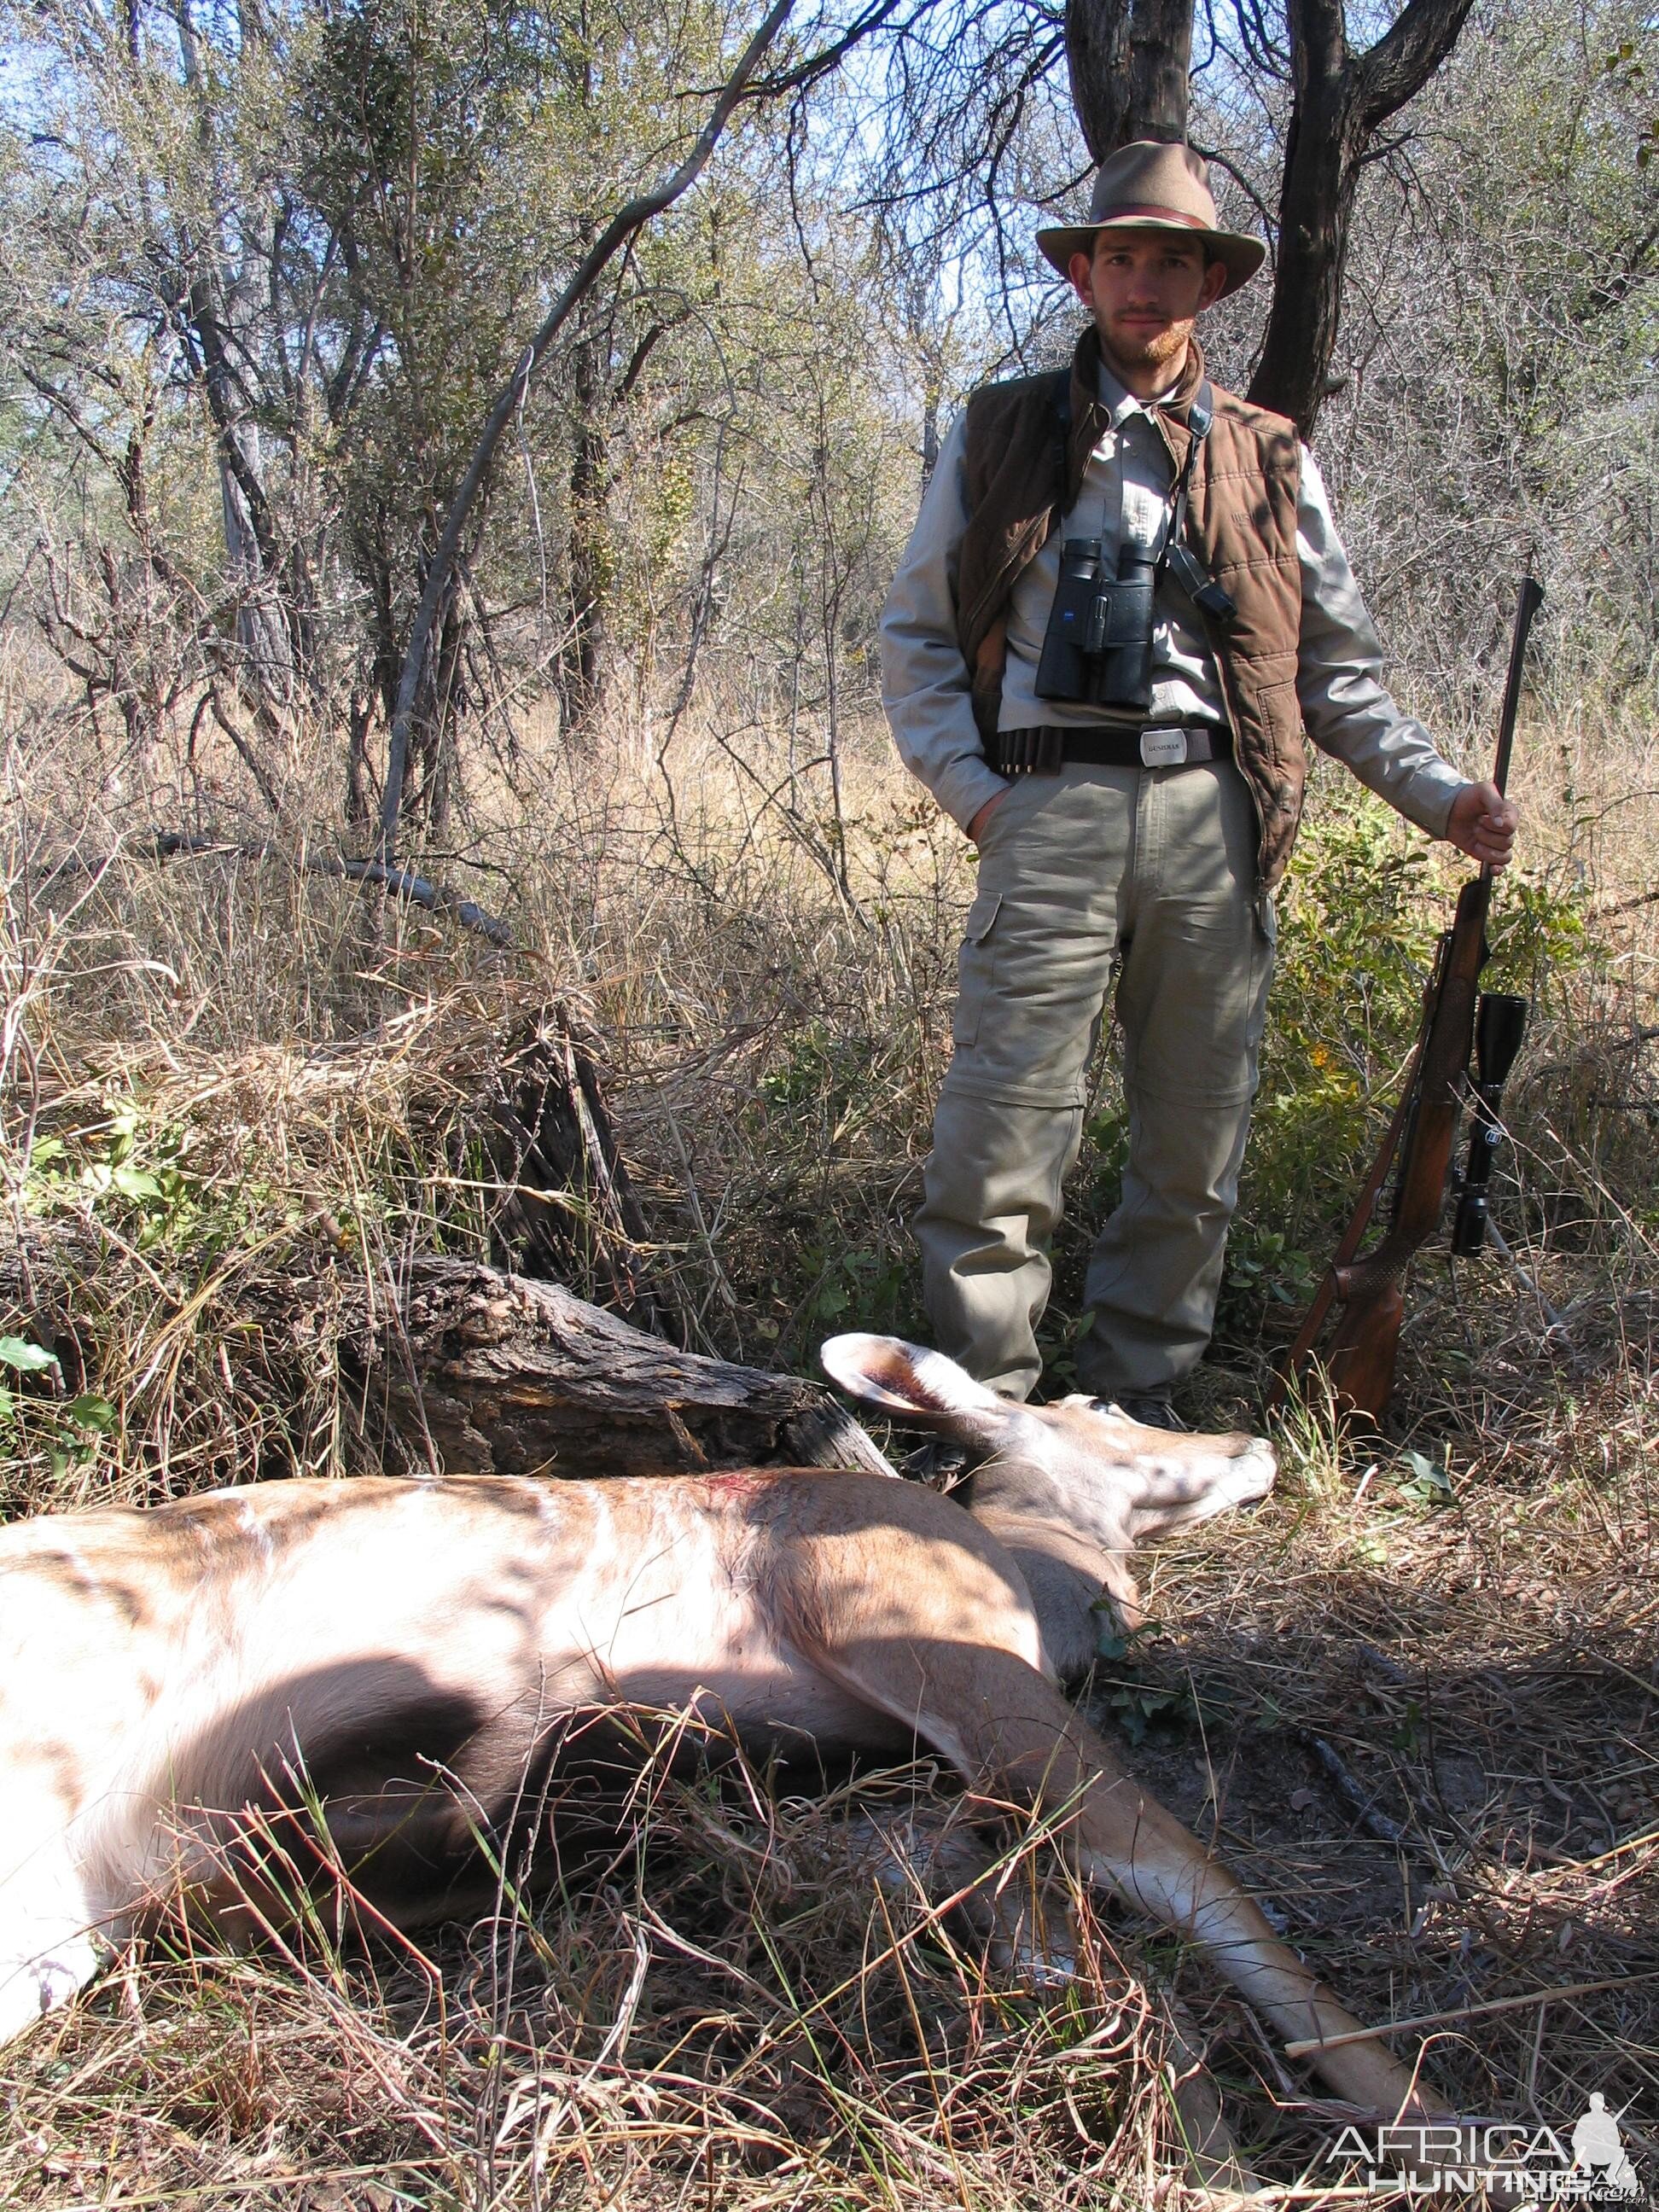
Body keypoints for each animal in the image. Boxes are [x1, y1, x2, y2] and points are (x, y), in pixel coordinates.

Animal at [0, 1327, 1441, 2141]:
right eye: (1107, 1410)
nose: (1257, 1440)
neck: (1032, 1581)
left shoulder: (885, 1815)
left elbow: (1064, 1948)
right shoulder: (906, 1620)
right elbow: (1184, 1877)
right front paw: (1408, 2114)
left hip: (71, 1920)